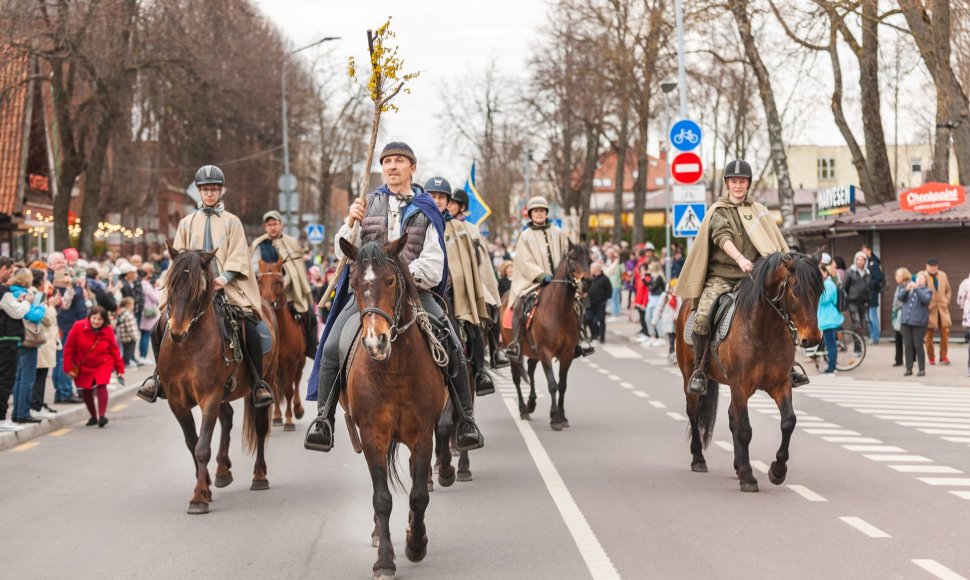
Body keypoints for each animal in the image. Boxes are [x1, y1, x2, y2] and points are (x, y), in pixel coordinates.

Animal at [155, 247, 276, 516]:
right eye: (170, 283)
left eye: (198, 290)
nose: (177, 332)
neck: (187, 347)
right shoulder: (177, 402)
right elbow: (192, 443)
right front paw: (206, 487)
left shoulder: (209, 396)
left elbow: (202, 447)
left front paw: (198, 497)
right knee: (228, 418)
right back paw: (222, 471)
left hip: (262, 382)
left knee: (260, 426)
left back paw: (260, 476)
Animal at [255, 258, 304, 430]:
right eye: (259, 281)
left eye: (278, 282)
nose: (268, 302)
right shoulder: (274, 364)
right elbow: (276, 390)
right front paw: (277, 417)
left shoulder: (292, 363)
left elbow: (289, 390)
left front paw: (289, 420)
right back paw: (276, 416)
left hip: (299, 363)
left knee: (297, 381)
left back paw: (298, 409)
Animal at [334, 237, 448, 580]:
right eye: (354, 285)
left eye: (390, 281)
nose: (376, 342)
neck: (393, 368)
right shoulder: (373, 437)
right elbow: (382, 498)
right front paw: (385, 560)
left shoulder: (423, 436)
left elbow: (419, 495)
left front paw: (416, 544)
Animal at [500, 241, 588, 430]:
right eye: (572, 258)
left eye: (589, 258)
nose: (587, 281)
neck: (558, 311)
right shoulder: (545, 351)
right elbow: (552, 384)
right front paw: (555, 417)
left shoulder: (567, 354)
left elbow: (562, 385)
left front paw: (562, 415)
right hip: (514, 351)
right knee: (517, 378)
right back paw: (523, 409)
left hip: (533, 351)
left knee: (531, 371)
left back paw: (531, 403)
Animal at [672, 251, 824, 492]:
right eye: (796, 290)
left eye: (819, 291)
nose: (814, 338)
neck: (764, 329)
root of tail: (687, 303)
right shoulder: (740, 385)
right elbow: (744, 429)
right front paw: (749, 477)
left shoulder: (781, 384)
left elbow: (788, 422)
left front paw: (777, 470)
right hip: (690, 376)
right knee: (694, 412)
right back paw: (699, 459)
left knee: (731, 417)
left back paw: (737, 466)